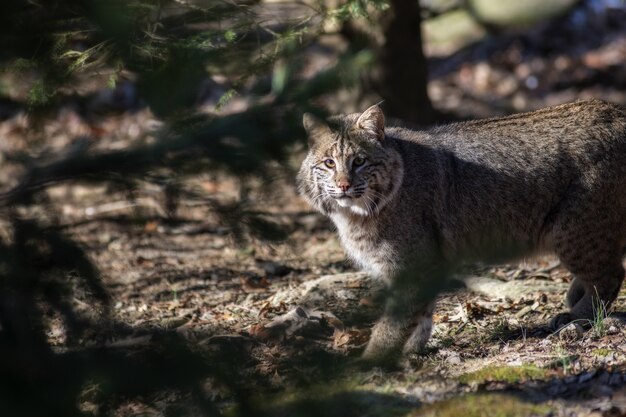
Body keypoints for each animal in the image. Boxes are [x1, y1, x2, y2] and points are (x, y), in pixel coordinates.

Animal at [296, 100, 624, 360]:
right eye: (329, 163)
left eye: (360, 161)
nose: (343, 186)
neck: (358, 212)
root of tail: (615, 109)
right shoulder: (424, 264)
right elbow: (420, 313)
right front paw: (412, 350)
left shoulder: (414, 265)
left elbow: (394, 320)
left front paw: (371, 360)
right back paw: (574, 297)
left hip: (574, 229)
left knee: (611, 274)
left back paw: (577, 316)